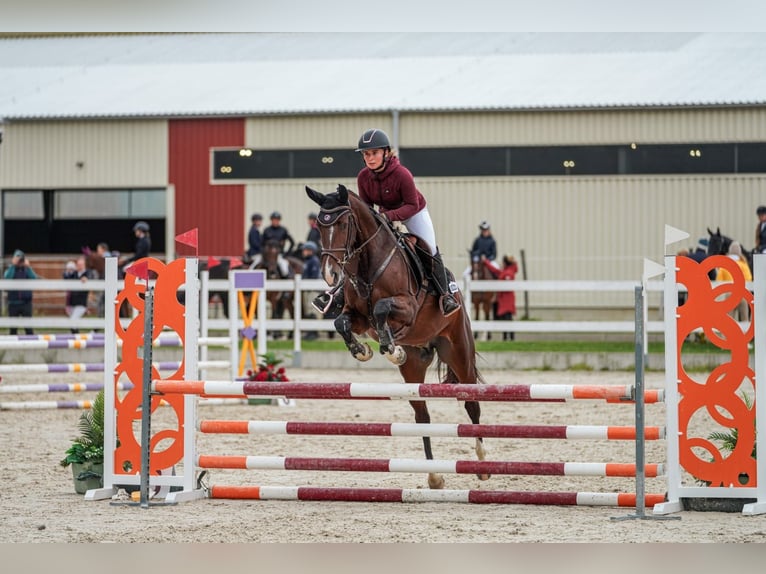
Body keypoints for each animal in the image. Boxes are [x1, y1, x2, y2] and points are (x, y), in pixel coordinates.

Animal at [305, 184, 488, 490]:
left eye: (343, 224)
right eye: (319, 225)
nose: (331, 275)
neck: (367, 265)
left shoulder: (407, 307)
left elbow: (381, 308)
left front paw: (390, 349)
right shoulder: (356, 316)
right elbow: (341, 321)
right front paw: (365, 351)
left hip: (459, 352)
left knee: (471, 404)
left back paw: (484, 464)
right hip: (414, 370)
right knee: (422, 415)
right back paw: (434, 476)